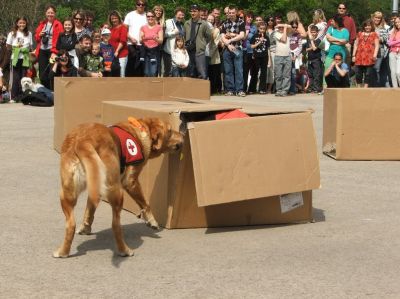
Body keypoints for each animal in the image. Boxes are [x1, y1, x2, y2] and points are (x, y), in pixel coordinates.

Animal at [52, 118, 183, 258]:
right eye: (170, 130)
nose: (183, 134)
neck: (141, 129)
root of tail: (82, 141)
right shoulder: (131, 182)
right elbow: (145, 203)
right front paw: (152, 221)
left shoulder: (96, 187)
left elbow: (90, 208)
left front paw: (85, 227)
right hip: (116, 192)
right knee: (115, 225)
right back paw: (125, 250)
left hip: (67, 193)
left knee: (71, 224)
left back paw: (63, 252)